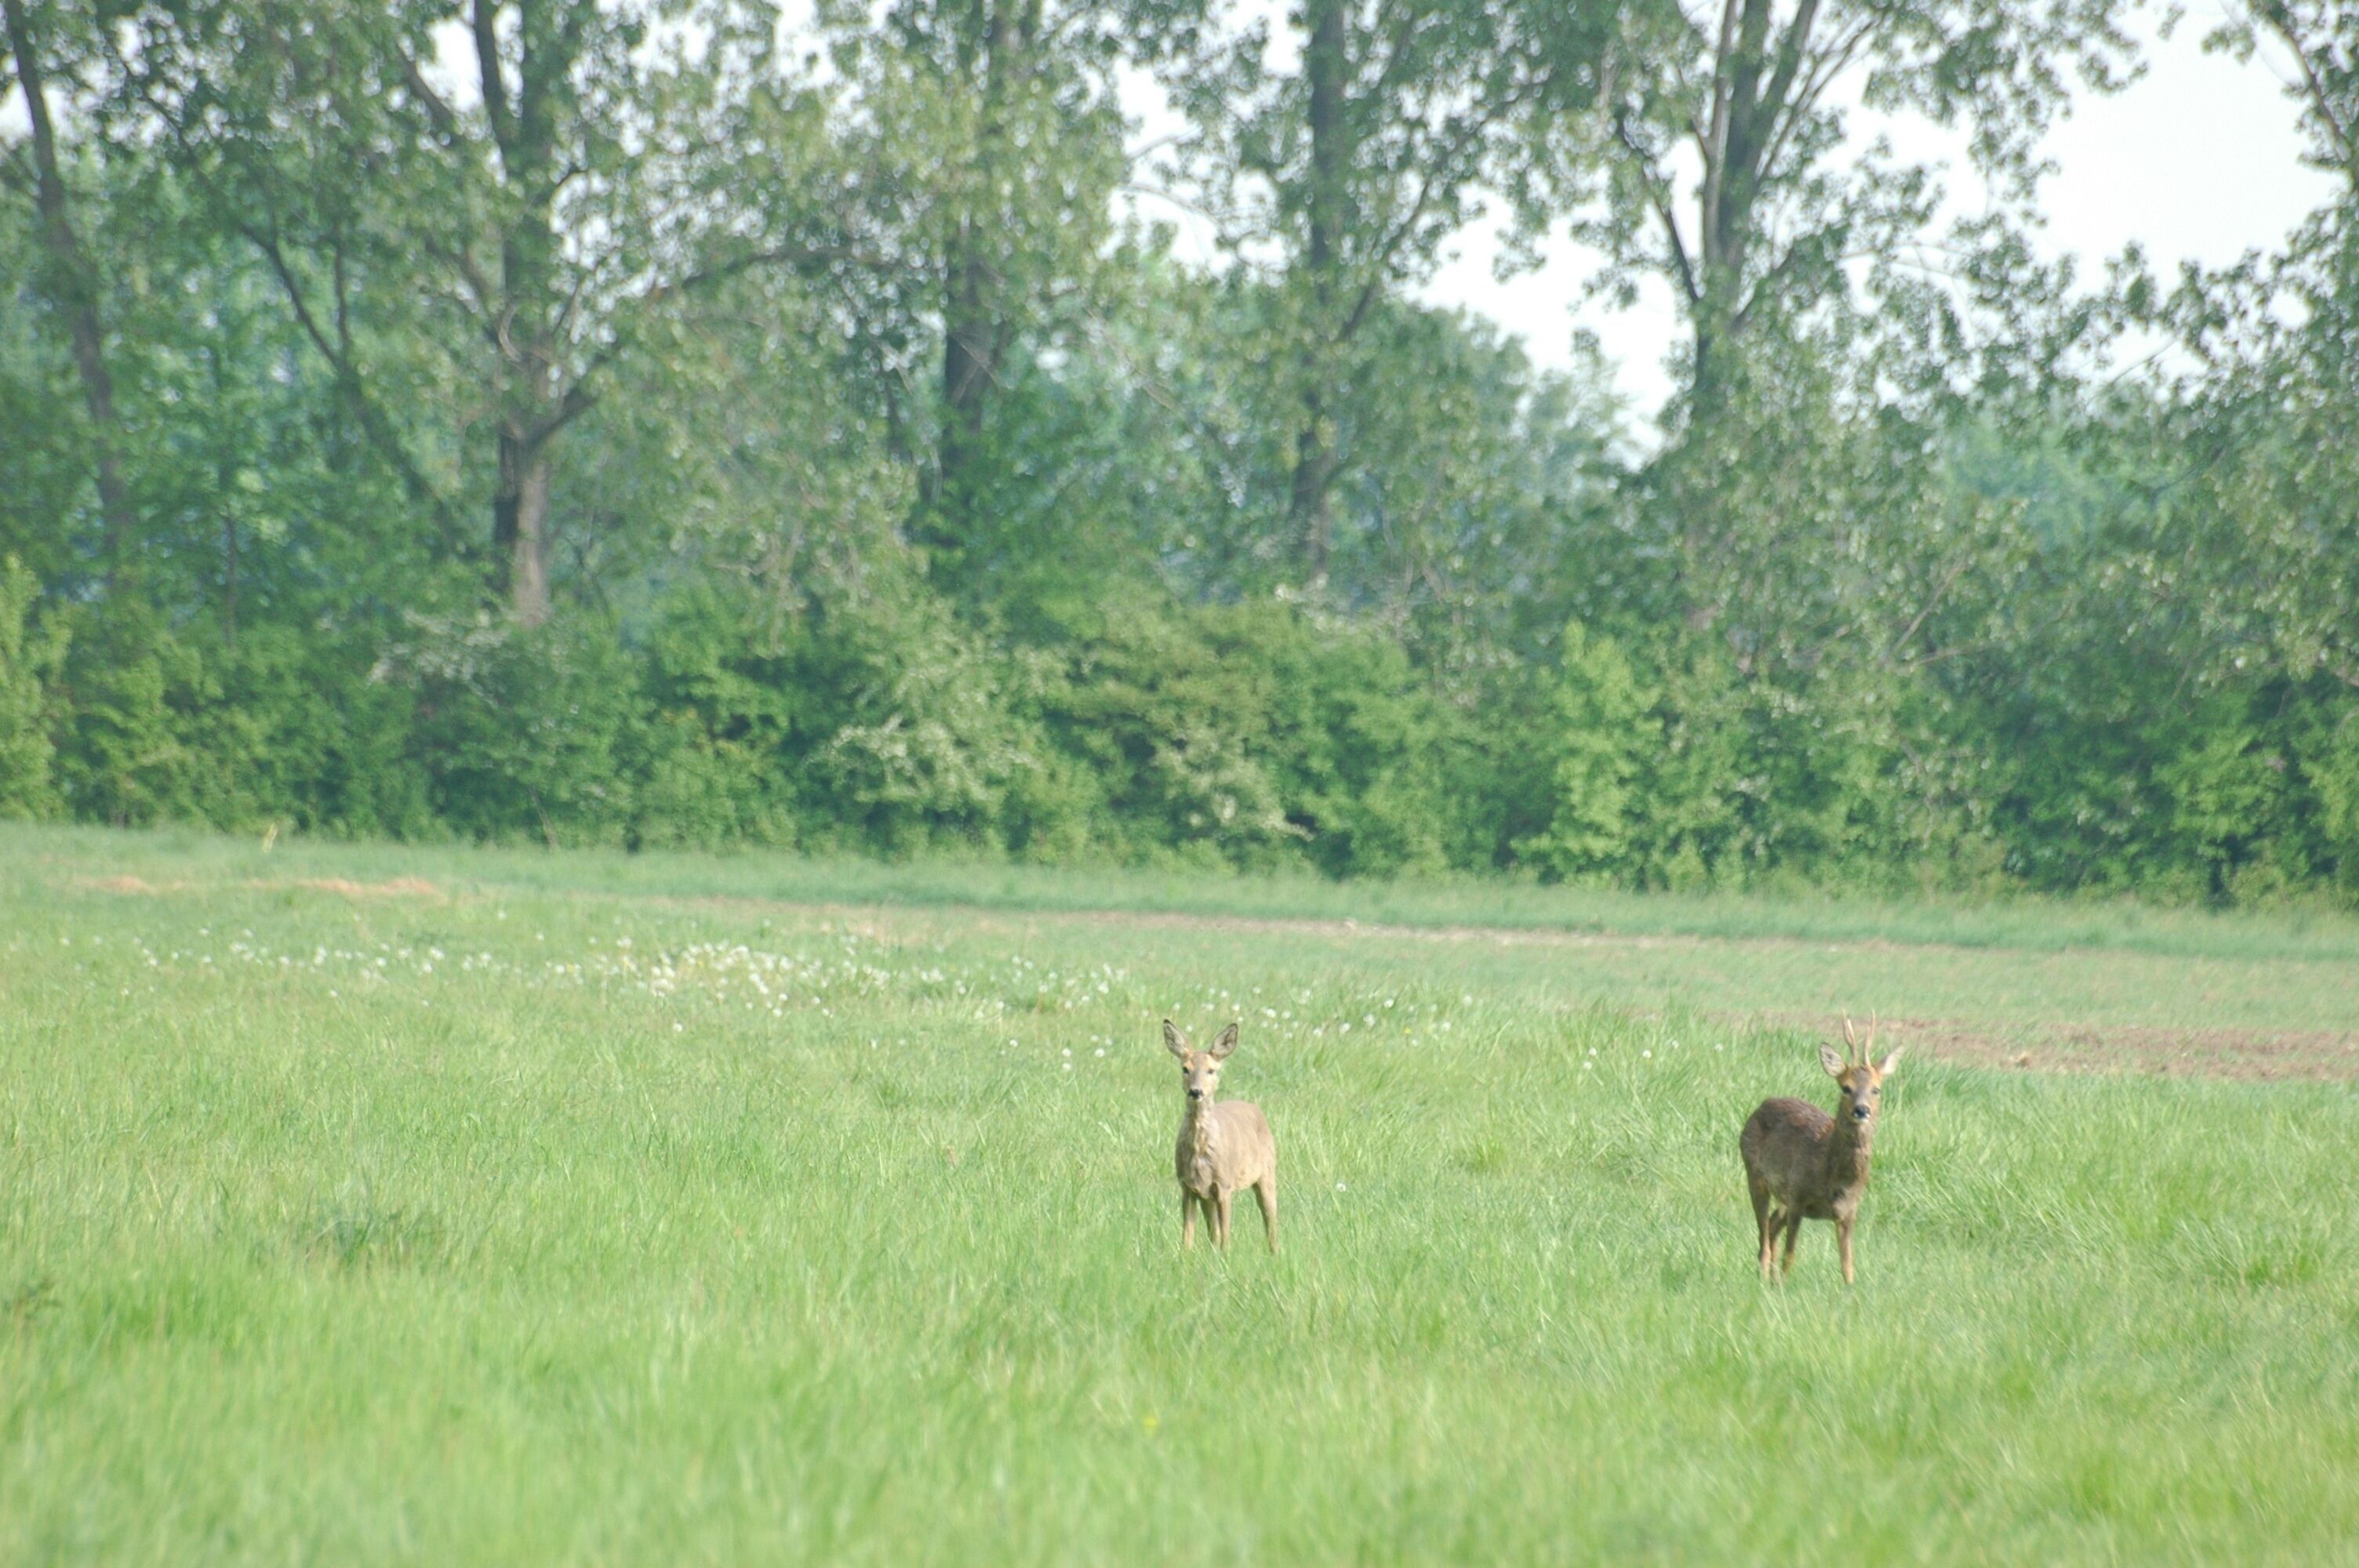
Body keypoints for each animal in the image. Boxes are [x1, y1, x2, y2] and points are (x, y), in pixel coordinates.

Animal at [1165, 1020, 1278, 1253]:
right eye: (1185, 1069)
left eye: (1212, 1070)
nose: (1196, 1092)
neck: (1200, 1149)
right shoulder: (1188, 1186)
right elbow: (1187, 1238)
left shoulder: (1224, 1185)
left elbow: (1226, 1238)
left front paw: (1227, 1259)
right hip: (1207, 1197)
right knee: (1213, 1232)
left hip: (1268, 1172)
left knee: (1271, 1221)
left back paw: (1276, 1254)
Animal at [1741, 1014, 1902, 1284]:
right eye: (1846, 1088)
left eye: (1876, 1089)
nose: (1861, 1110)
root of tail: (1760, 1107)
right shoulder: (1797, 1196)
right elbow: (1791, 1255)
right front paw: (1783, 1285)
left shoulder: (1849, 1211)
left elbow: (1847, 1265)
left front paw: (1849, 1290)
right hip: (1756, 1176)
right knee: (1764, 1236)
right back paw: (1764, 1278)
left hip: (1782, 1196)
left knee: (1771, 1226)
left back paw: (1770, 1278)